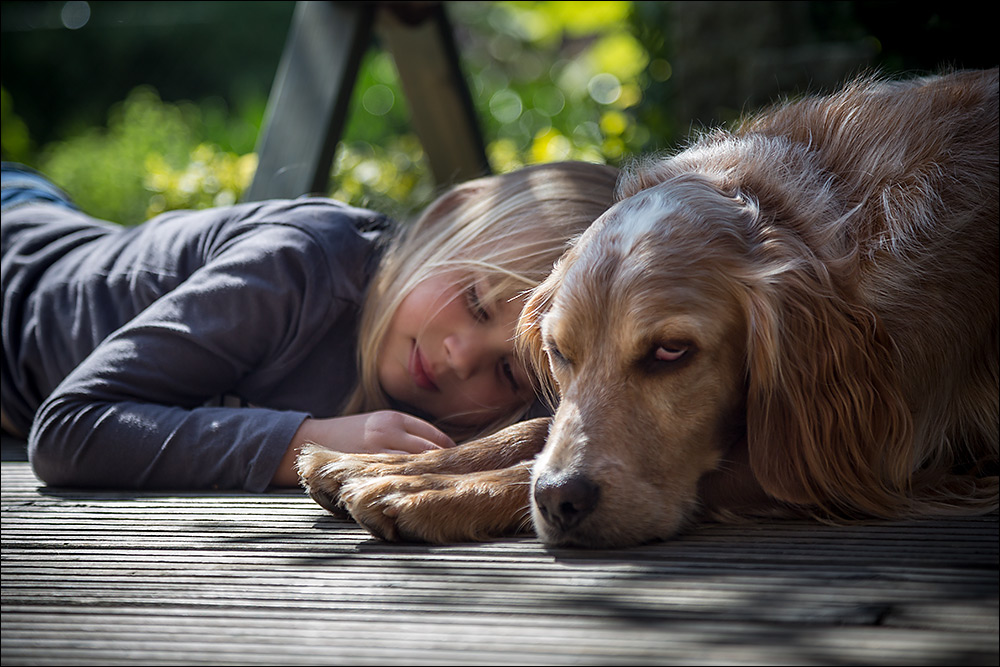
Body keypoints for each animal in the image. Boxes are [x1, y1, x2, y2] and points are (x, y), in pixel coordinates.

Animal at [298, 69, 1000, 548]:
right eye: (560, 352)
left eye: (672, 351)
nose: (561, 500)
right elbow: (532, 428)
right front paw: (377, 461)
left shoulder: (878, 451)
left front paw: (421, 491)